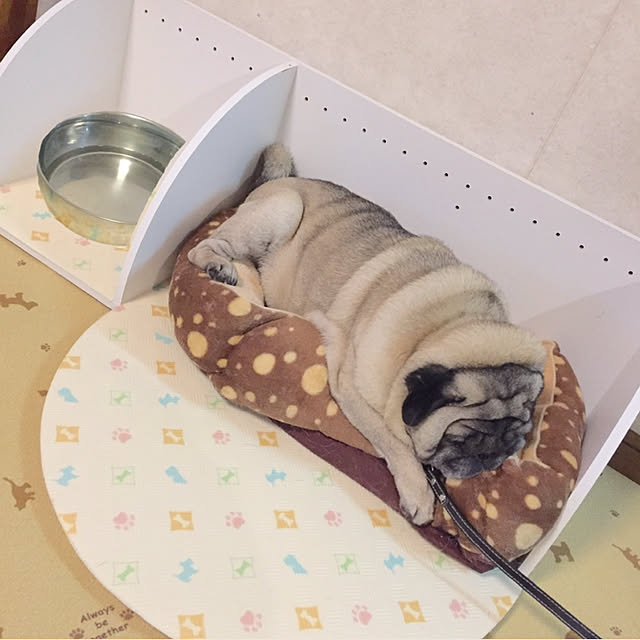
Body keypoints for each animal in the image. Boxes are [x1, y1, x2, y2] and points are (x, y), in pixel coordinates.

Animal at [188, 144, 545, 525]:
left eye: (516, 436)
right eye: (464, 436)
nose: (493, 454)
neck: (441, 327)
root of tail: (281, 180)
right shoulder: (353, 389)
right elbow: (398, 445)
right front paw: (420, 493)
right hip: (283, 209)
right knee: (207, 247)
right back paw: (220, 267)